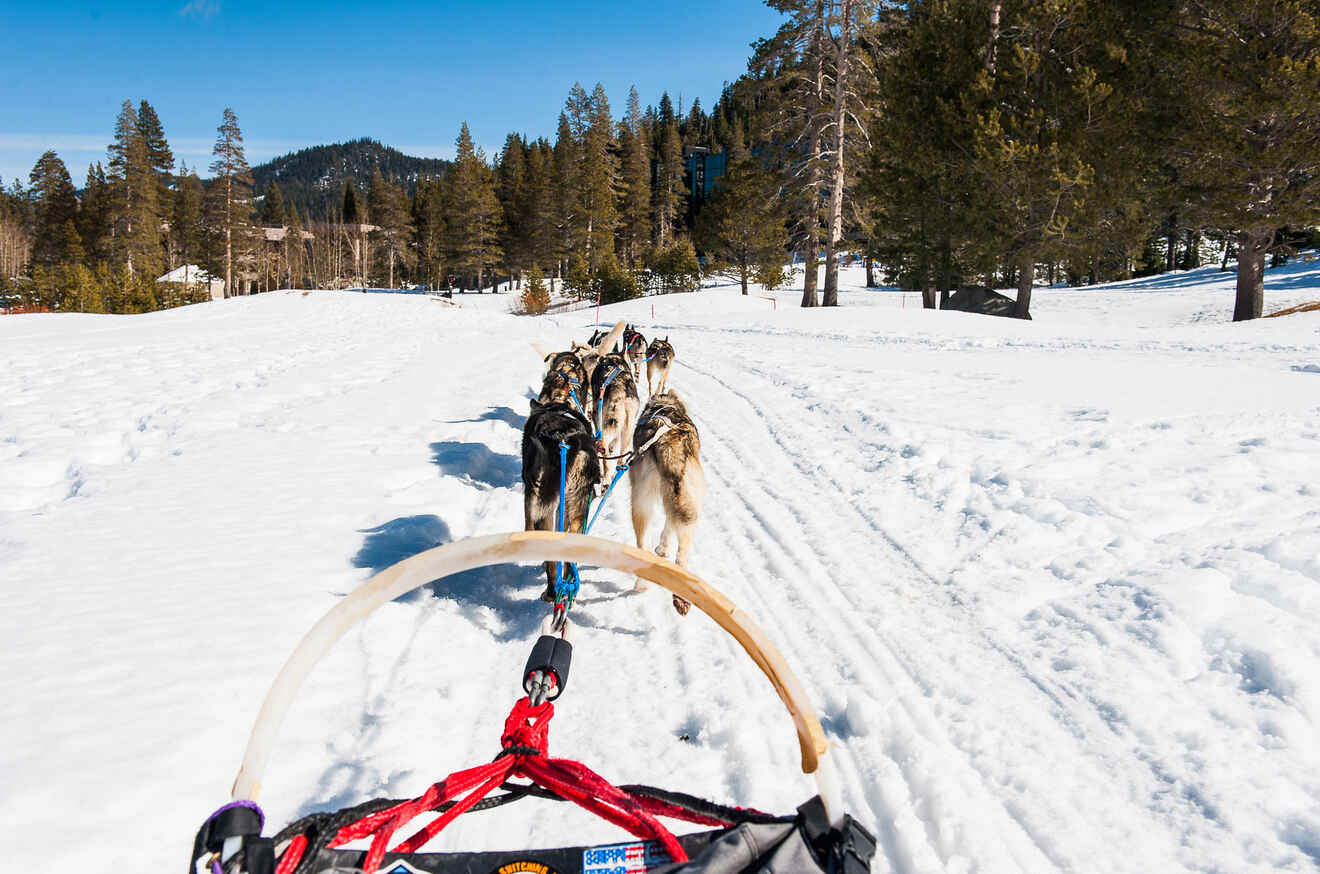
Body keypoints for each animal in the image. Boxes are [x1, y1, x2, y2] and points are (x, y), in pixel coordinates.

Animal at [625, 390, 702, 615]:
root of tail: (668, 444)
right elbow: (669, 526)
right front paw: (664, 548)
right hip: (688, 506)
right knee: (682, 555)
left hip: (643, 503)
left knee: (644, 547)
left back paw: (642, 585)